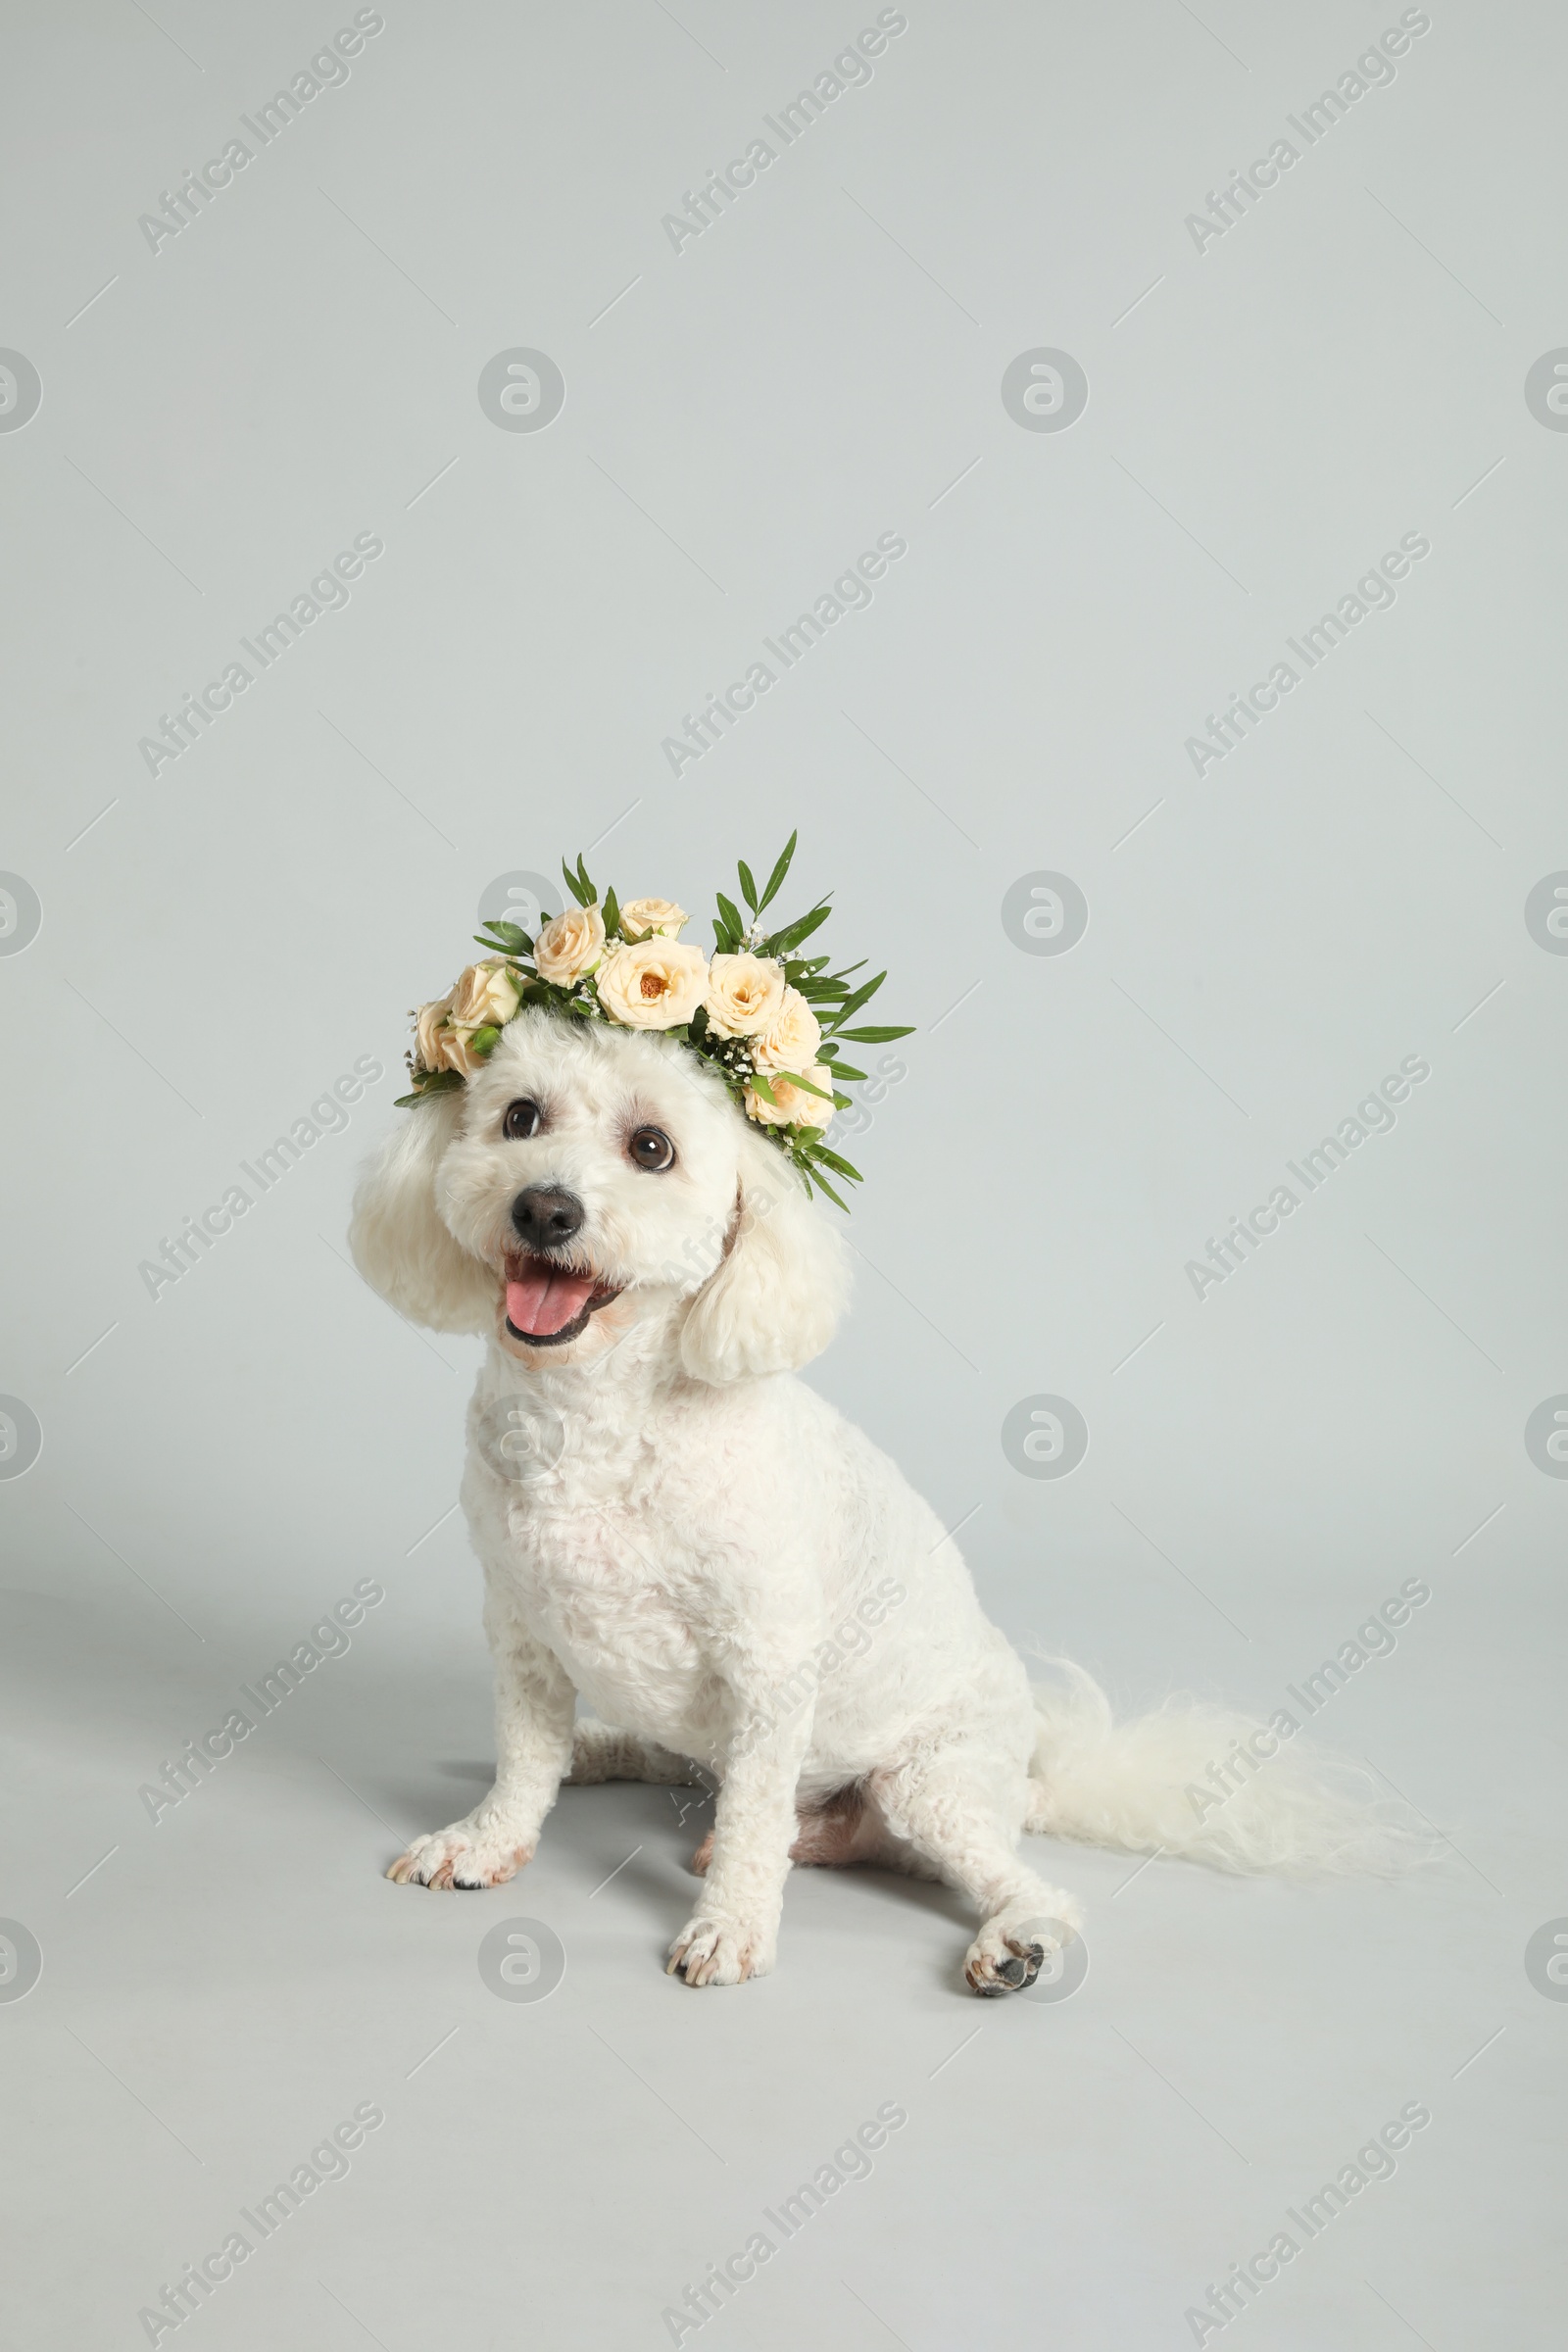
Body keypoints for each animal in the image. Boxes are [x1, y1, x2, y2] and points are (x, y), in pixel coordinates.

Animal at [352, 1006, 1419, 1984]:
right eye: (519, 1118)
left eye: (651, 1148)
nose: (545, 1210)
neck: (597, 1413)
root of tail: (1021, 1783)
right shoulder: (523, 1632)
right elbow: (525, 1760)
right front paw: (486, 1838)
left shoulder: (768, 1663)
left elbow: (751, 1816)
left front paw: (731, 1924)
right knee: (683, 1767)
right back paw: (619, 1758)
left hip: (927, 1783)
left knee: (985, 1868)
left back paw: (1010, 1935)